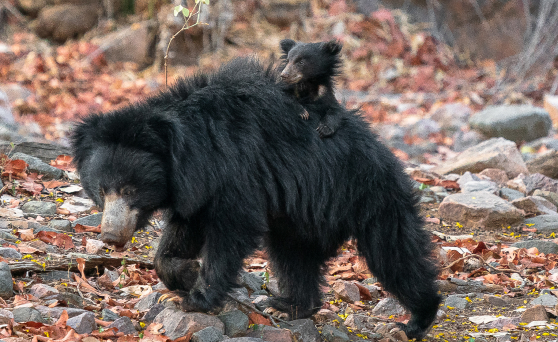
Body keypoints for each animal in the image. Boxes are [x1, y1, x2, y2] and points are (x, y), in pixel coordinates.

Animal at [72, 57, 444, 338]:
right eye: (101, 190)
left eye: (130, 189)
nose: (110, 235)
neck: (190, 153)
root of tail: (385, 152)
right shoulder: (195, 189)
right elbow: (182, 231)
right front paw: (185, 272)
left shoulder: (234, 172)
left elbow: (232, 229)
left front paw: (198, 296)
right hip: (301, 219)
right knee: (295, 257)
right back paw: (288, 306)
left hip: (368, 194)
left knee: (394, 254)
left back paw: (414, 321)